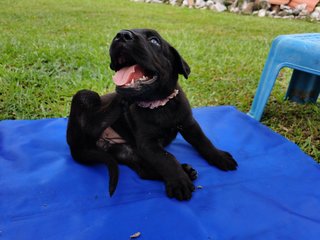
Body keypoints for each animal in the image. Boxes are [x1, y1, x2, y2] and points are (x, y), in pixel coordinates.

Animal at [67, 28, 238, 201]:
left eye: (154, 41)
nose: (122, 35)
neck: (160, 104)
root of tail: (77, 149)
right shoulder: (148, 144)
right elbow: (167, 158)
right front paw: (179, 182)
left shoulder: (189, 124)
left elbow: (203, 141)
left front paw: (219, 156)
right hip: (86, 96)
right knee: (92, 124)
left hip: (124, 151)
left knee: (143, 171)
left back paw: (186, 171)